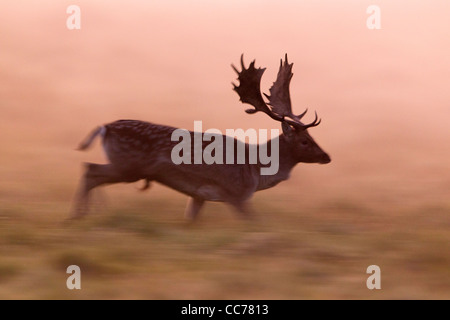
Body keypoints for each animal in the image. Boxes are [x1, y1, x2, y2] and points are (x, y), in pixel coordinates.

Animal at [71, 55, 330, 220]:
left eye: (311, 135)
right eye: (304, 141)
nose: (326, 156)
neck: (256, 170)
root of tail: (105, 127)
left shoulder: (198, 196)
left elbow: (190, 220)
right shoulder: (236, 193)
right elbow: (256, 222)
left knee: (88, 168)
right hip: (127, 165)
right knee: (90, 169)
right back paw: (77, 215)